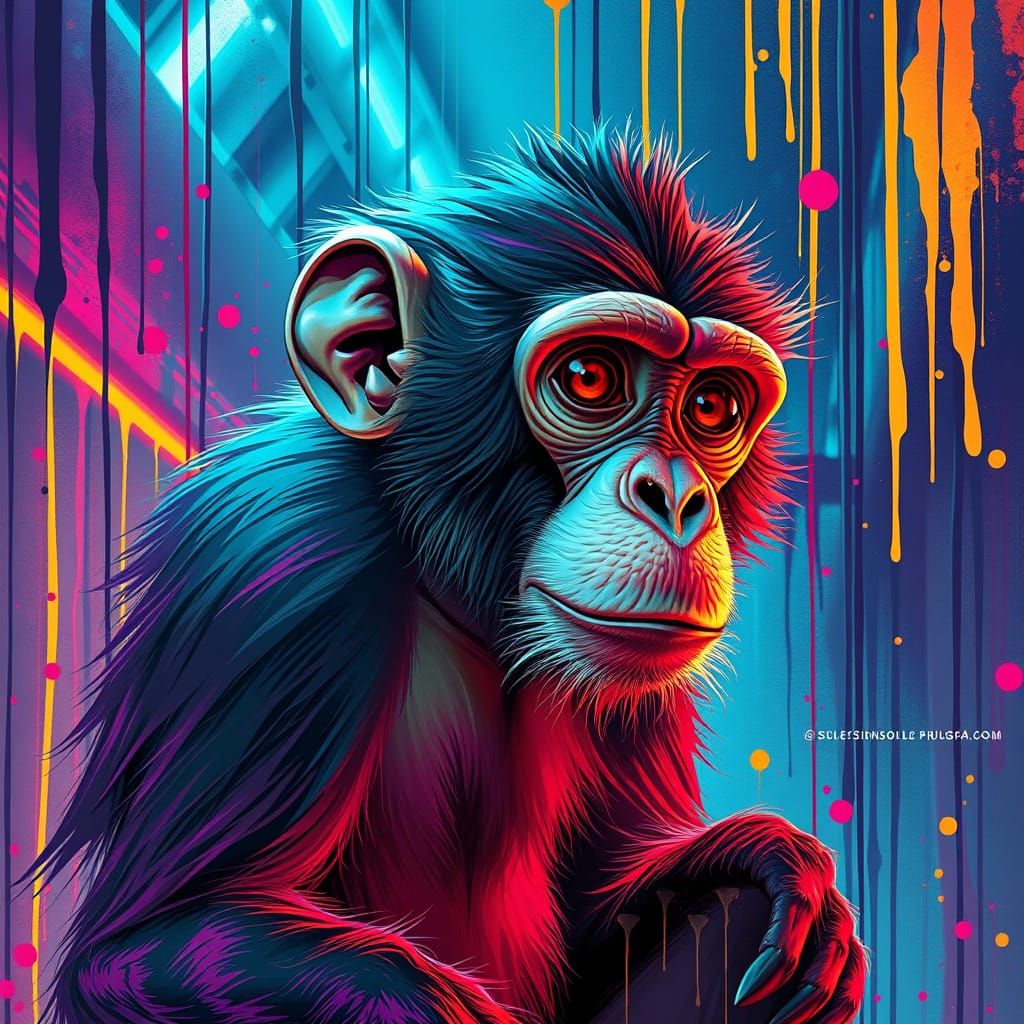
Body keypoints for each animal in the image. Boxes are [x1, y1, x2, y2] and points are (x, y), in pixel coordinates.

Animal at [41, 128, 865, 1024]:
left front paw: (767, 853)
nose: (677, 497)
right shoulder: (276, 563)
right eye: (590, 378)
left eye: (713, 407)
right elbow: (139, 946)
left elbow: (605, 911)